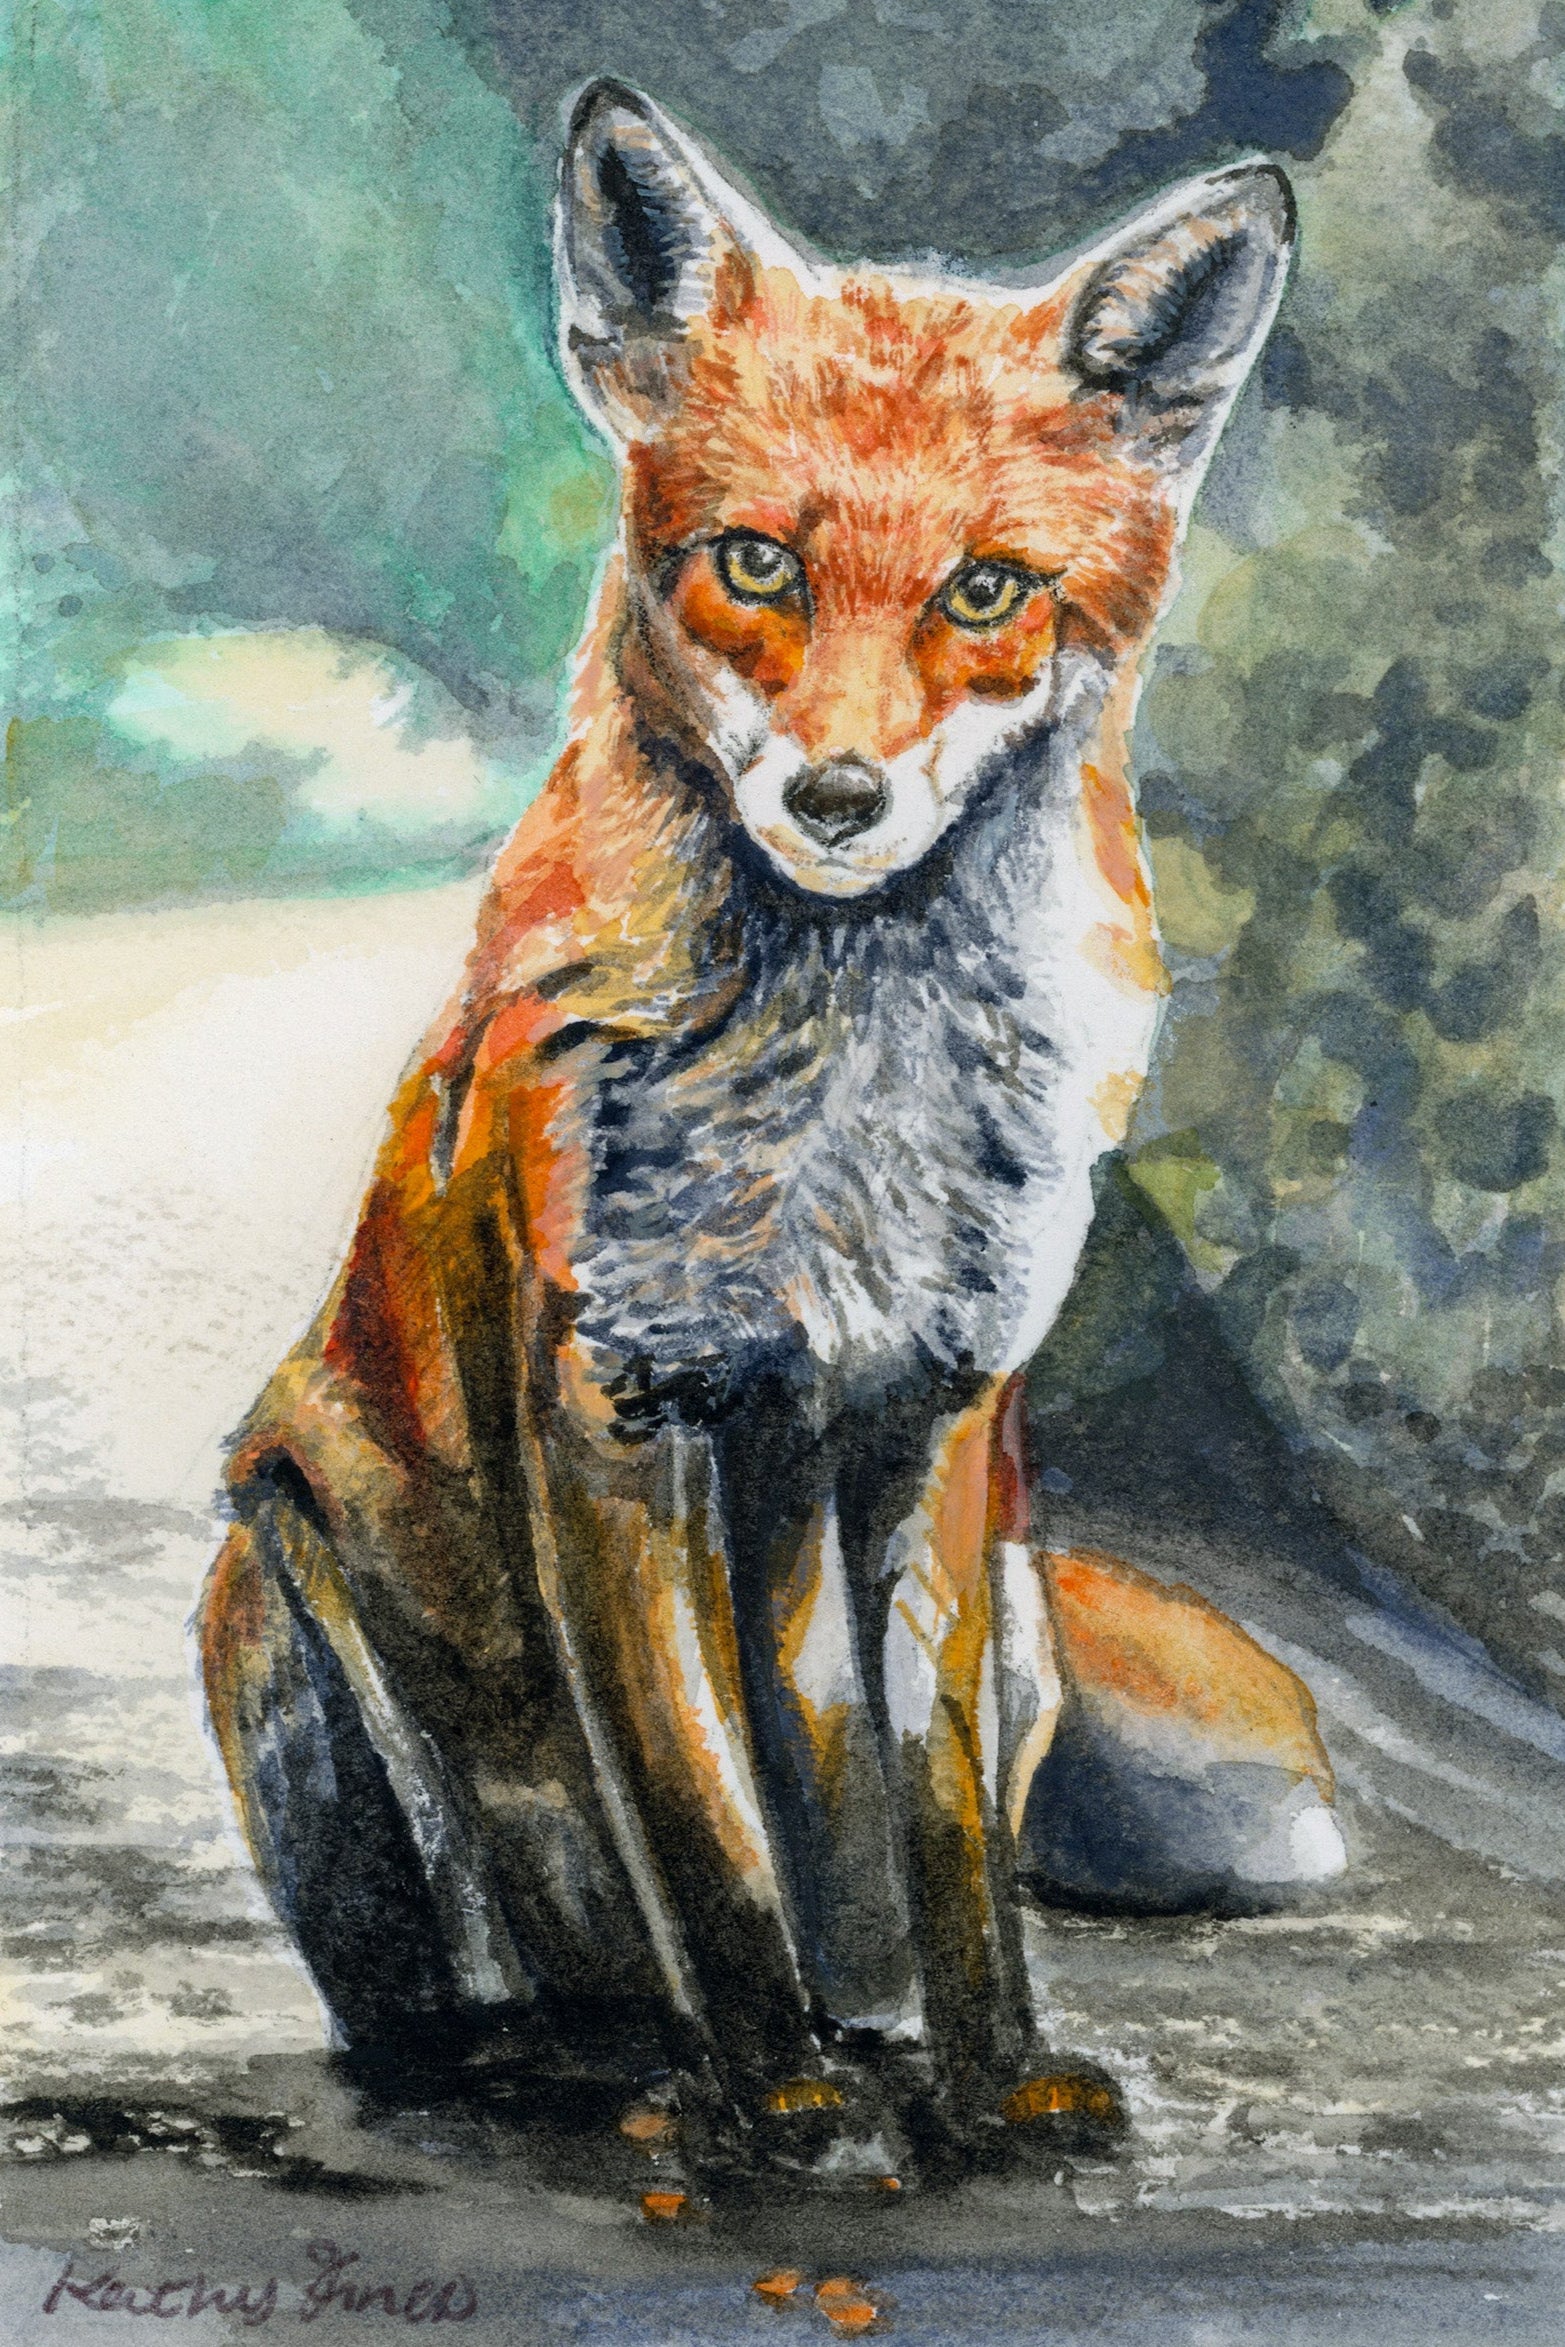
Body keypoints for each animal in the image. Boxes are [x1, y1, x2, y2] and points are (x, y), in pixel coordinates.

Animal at [199, 81, 1344, 2173]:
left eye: (985, 590)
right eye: (752, 561)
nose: (832, 795)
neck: (842, 1119)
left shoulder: (941, 1417)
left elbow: (945, 1821)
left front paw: (986, 2075)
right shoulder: (615, 1406)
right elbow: (706, 1812)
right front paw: (774, 2094)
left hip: (1027, 1606)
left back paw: (859, 2032)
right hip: (286, 1591)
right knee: (458, 1998)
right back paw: (605, 2069)